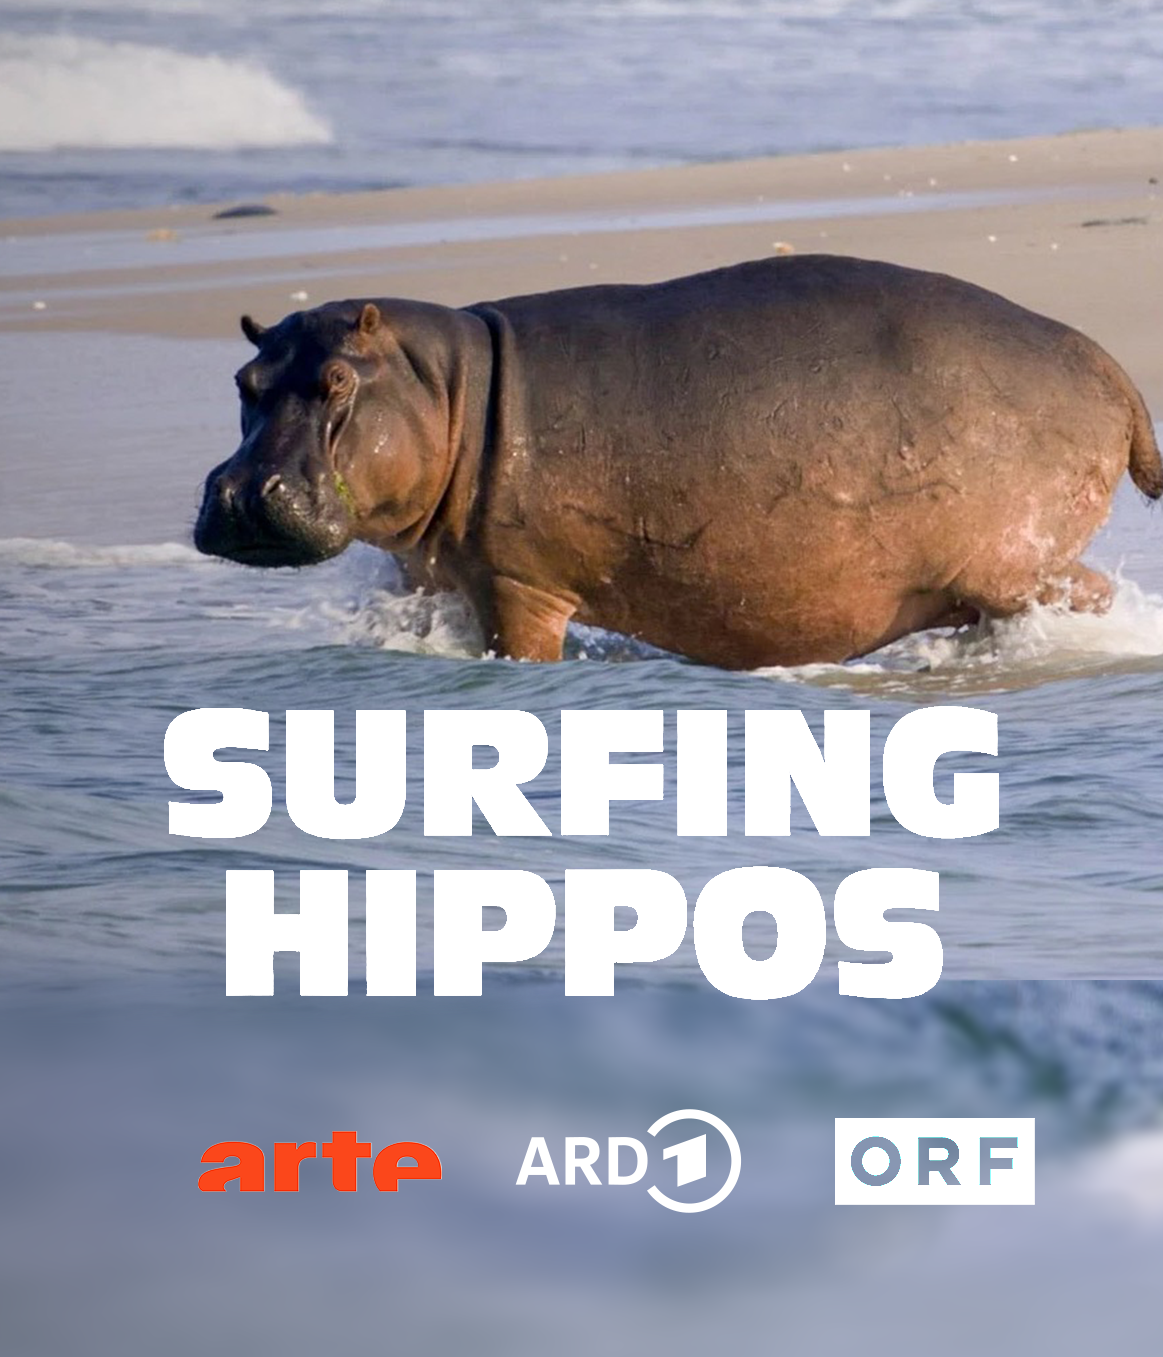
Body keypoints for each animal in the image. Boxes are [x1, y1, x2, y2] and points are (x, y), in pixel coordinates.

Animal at [195, 255, 1160, 669]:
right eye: (244, 379)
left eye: (335, 380)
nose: (240, 492)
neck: (450, 383)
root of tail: (1110, 364)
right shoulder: (432, 577)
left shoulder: (518, 581)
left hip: (1012, 560)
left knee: (1086, 595)